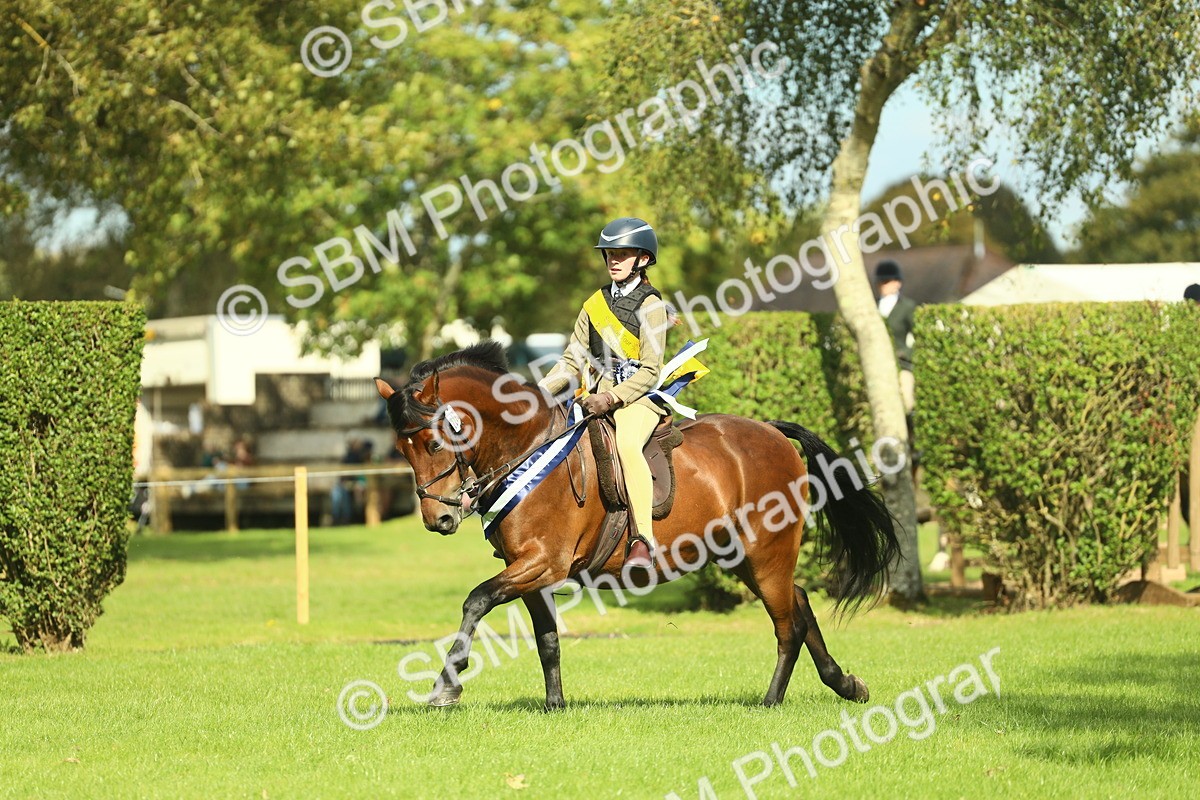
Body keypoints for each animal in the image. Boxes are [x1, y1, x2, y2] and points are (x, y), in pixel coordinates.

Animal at [375, 341, 900, 710]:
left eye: (436, 443)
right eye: (402, 449)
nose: (439, 518)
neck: (527, 451)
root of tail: (771, 431)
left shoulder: (542, 563)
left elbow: (476, 601)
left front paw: (446, 686)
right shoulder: (531, 573)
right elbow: (547, 641)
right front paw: (555, 705)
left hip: (765, 553)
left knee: (788, 625)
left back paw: (771, 702)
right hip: (743, 557)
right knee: (801, 604)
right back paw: (845, 684)